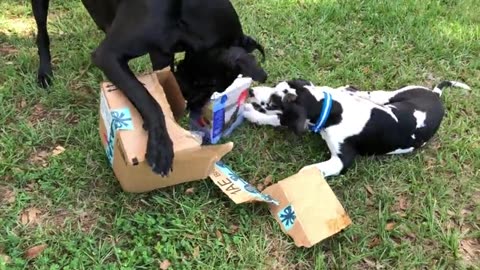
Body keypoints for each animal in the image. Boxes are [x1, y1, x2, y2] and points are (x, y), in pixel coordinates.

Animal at [244, 79, 468, 178]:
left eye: (274, 101)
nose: (252, 91)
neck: (333, 110)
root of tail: (436, 95)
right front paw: (250, 113)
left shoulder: (341, 161)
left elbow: (309, 169)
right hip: (390, 94)